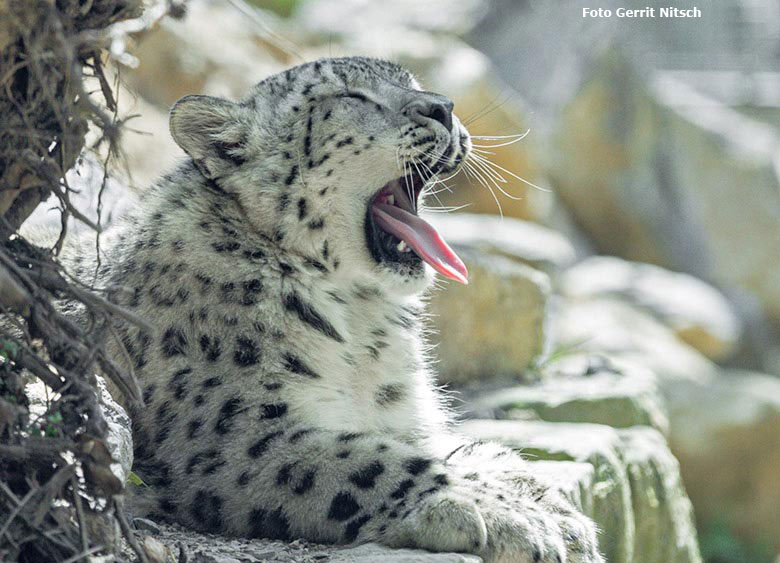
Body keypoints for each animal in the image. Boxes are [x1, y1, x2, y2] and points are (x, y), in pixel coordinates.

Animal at [93, 57, 604, 563]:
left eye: (412, 82)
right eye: (350, 97)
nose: (444, 107)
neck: (363, 327)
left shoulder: (403, 418)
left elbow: (459, 446)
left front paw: (551, 507)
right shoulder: (239, 431)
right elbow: (371, 461)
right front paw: (498, 513)